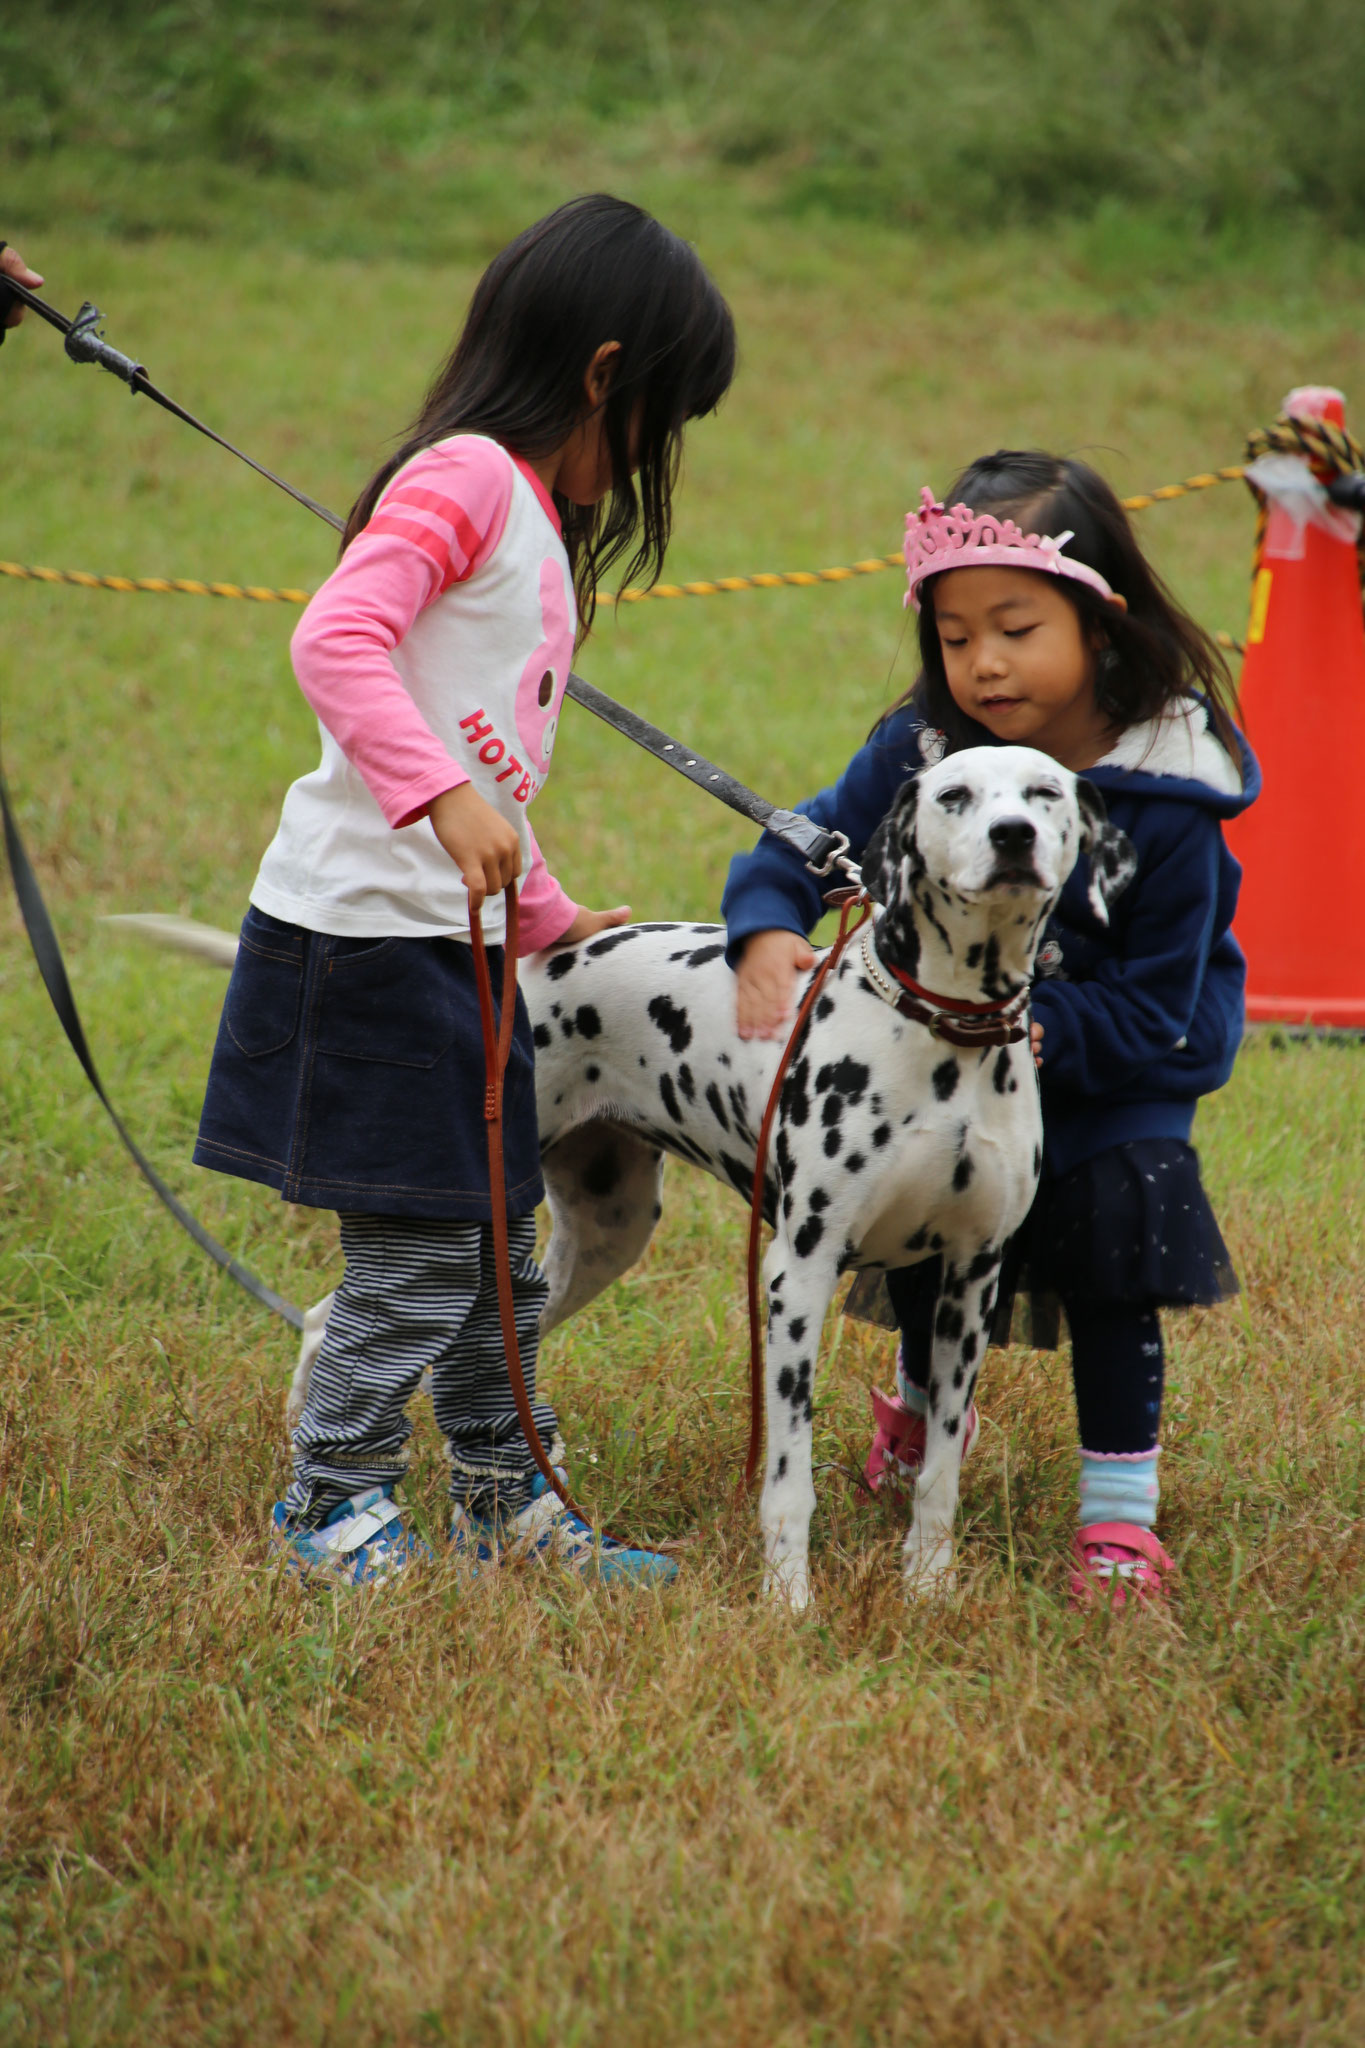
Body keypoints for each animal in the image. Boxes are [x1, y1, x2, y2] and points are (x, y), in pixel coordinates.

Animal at [122, 745, 1137, 1605]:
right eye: (954, 795)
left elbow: (939, 1473)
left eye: (1044, 792)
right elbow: (788, 1484)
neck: (941, 1034)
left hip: (592, 1242)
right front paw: (788, 1607)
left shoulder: (969, 1285)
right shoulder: (797, 1278)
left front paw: (927, 1590)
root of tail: (522, 966)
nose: (1013, 836)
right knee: (337, 1322)